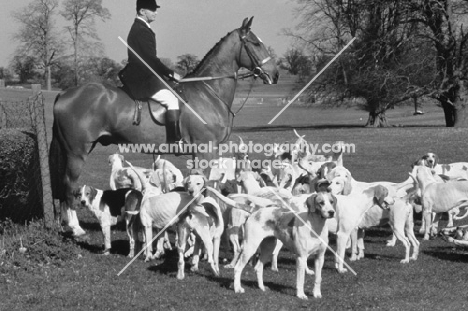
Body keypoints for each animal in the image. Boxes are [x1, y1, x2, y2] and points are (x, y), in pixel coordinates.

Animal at [49, 16, 280, 236]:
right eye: (256, 43)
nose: (275, 74)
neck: (208, 92)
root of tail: (64, 94)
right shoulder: (206, 150)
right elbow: (208, 187)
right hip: (77, 152)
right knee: (68, 185)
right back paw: (76, 228)